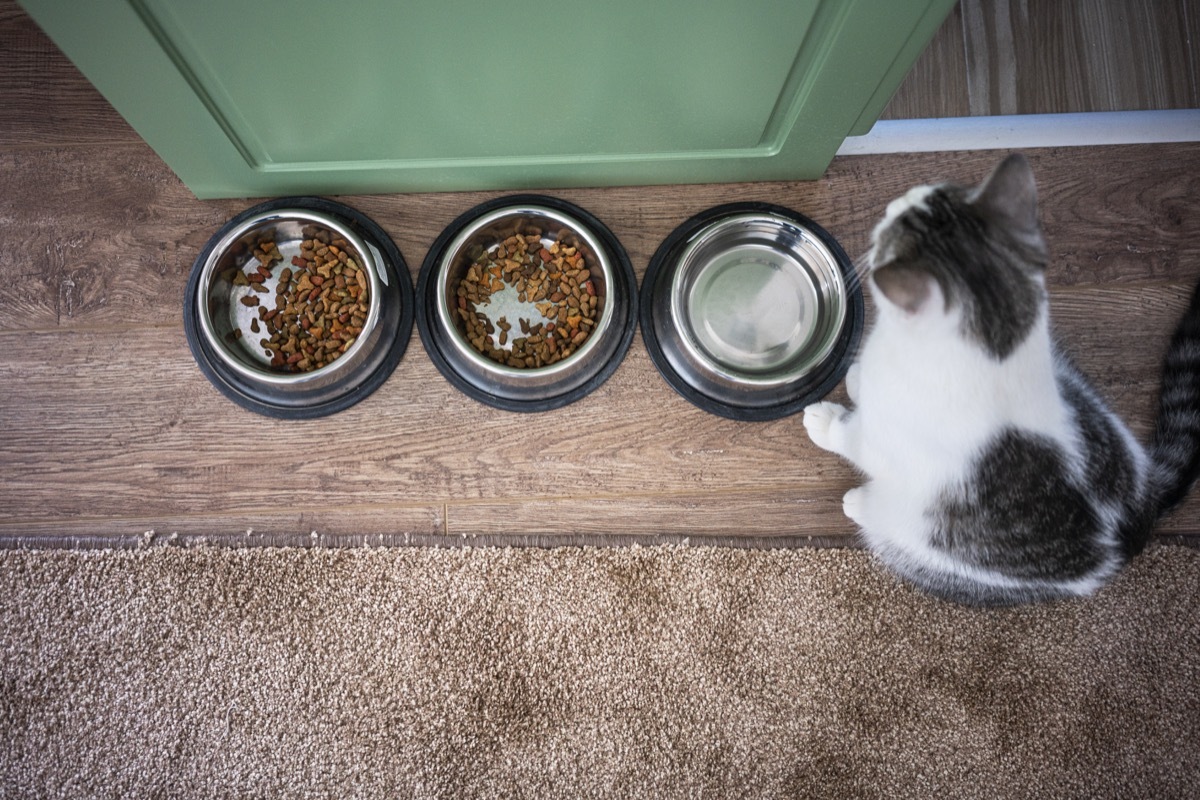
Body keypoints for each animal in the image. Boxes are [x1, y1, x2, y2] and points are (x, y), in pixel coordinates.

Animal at [801, 153, 1200, 606]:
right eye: (926, 194)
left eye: (891, 232)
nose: (892, 204)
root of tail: (1141, 519)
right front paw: (855, 380)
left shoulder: (883, 440)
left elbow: (849, 436)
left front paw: (826, 420)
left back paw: (862, 503)